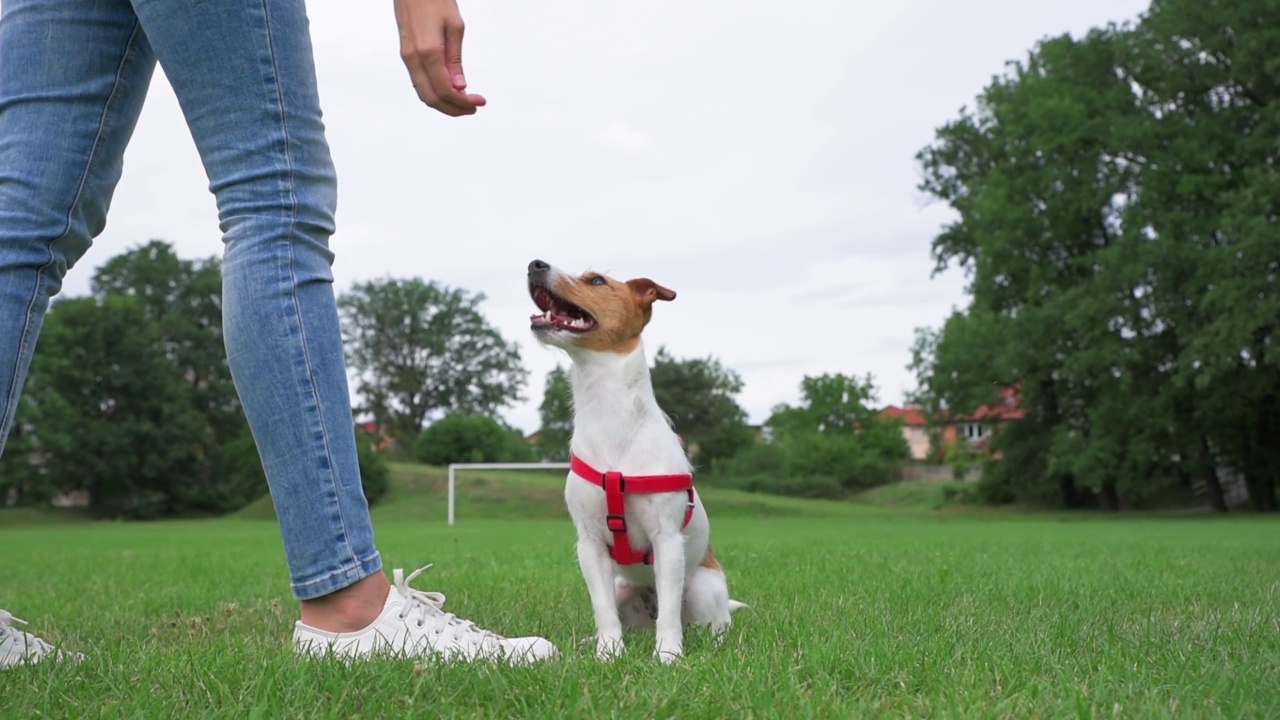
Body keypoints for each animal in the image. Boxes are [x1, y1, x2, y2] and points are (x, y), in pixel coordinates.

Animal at [522, 258, 742, 661]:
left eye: (596, 280)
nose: (535, 263)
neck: (611, 416)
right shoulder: (589, 544)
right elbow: (603, 610)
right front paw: (608, 654)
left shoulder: (667, 540)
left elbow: (669, 612)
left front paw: (668, 656)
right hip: (623, 585)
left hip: (703, 588)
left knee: (710, 624)